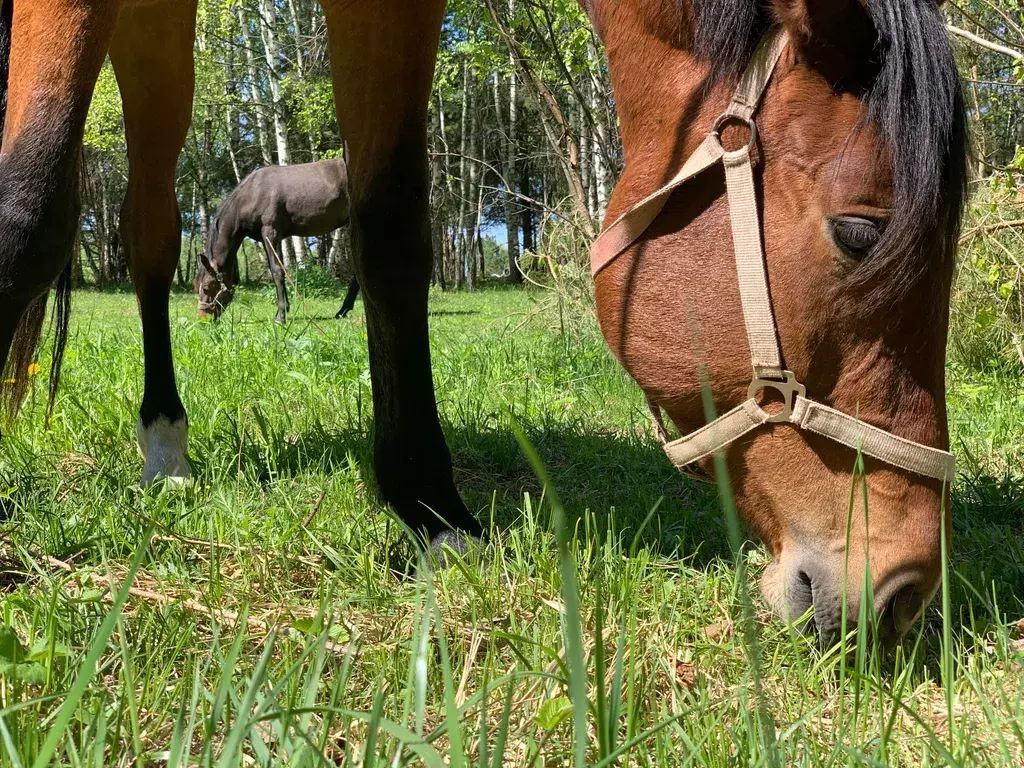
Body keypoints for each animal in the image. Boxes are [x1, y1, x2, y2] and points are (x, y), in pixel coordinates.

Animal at [195, 156, 360, 325]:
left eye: (207, 287)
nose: (202, 319)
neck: (252, 193)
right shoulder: (265, 238)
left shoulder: (271, 231)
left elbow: (277, 270)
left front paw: (281, 316)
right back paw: (343, 310)